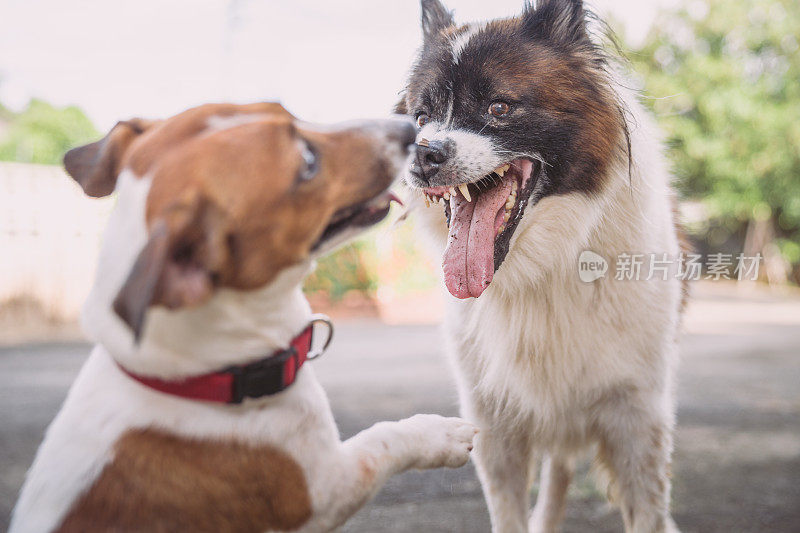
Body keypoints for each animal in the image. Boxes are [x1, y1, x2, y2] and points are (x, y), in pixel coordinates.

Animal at [10, 101, 476, 532]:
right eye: (307, 162)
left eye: (282, 109)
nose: (410, 131)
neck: (196, 383)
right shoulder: (323, 489)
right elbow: (384, 438)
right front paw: (440, 435)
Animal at [400, 1, 688, 532]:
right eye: (421, 117)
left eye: (499, 108)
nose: (422, 154)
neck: (545, 264)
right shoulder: (494, 426)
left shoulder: (638, 419)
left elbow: (648, 511)